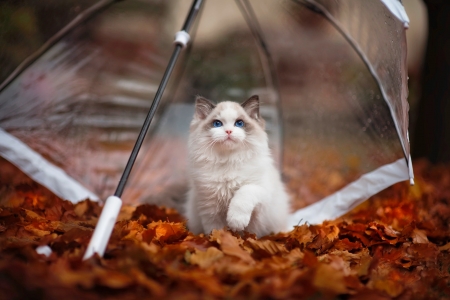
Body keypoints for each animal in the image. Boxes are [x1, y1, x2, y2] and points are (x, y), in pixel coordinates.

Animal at [185, 95, 290, 237]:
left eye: (239, 123)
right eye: (217, 124)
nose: (229, 131)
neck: (228, 160)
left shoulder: (260, 190)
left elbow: (243, 194)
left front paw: (236, 222)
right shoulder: (209, 207)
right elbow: (215, 231)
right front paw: (218, 240)